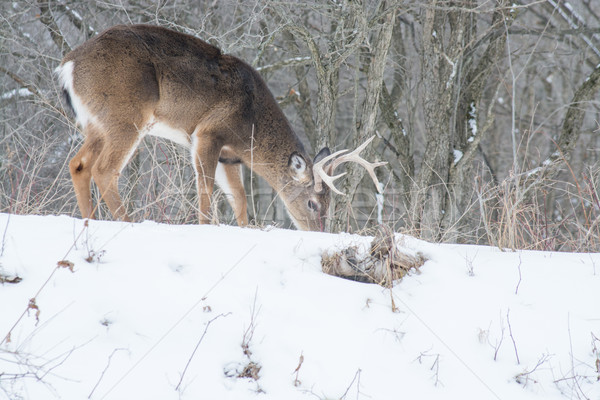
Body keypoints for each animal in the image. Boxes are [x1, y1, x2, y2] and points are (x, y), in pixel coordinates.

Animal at [55, 24, 384, 231]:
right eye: (314, 203)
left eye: (330, 203)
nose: (319, 232)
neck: (250, 123)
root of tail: (67, 66)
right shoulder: (208, 133)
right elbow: (206, 188)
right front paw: (206, 227)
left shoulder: (230, 156)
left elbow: (239, 198)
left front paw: (243, 229)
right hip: (126, 115)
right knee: (104, 169)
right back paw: (127, 223)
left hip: (96, 123)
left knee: (78, 164)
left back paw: (90, 220)